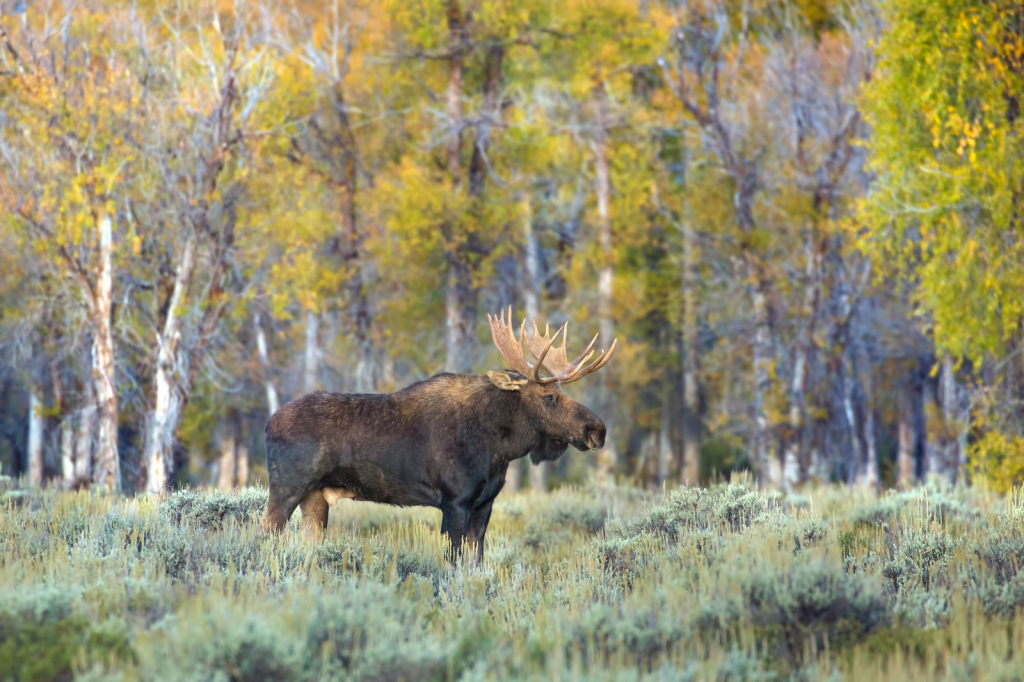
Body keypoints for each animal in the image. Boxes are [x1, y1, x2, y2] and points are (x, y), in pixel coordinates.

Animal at [262, 305, 614, 561]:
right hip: (286, 487)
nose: (597, 430)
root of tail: (268, 424)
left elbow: (475, 564)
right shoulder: (454, 501)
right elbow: (452, 563)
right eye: (549, 396)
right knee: (265, 534)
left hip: (315, 498)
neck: (499, 449)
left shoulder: (484, 504)